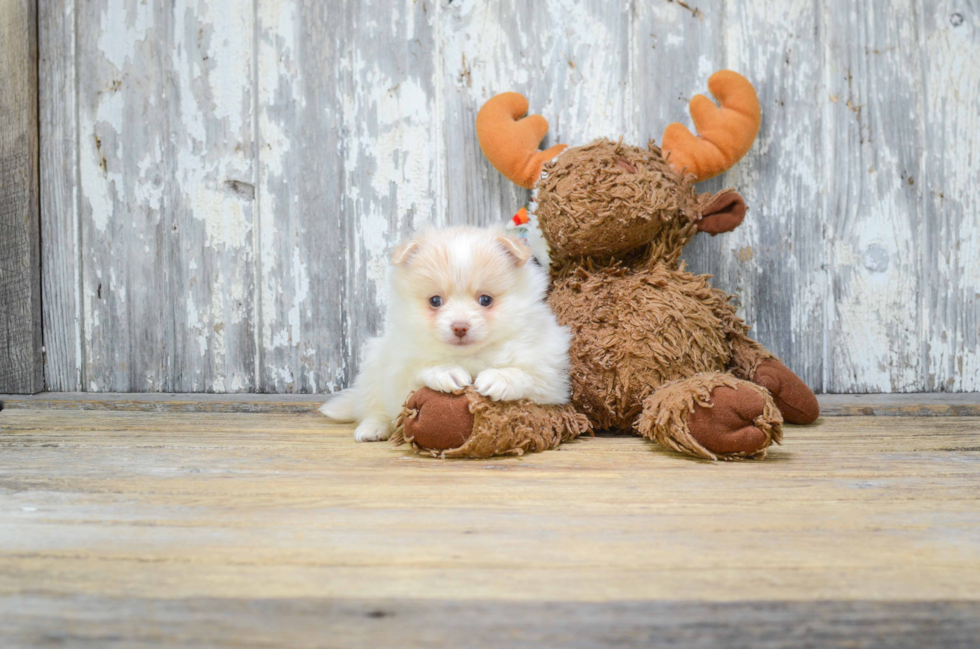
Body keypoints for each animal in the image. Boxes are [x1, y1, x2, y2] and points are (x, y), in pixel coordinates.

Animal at [318, 225, 572, 442]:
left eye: (485, 300)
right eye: (435, 301)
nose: (460, 326)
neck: (467, 356)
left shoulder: (551, 378)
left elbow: (526, 375)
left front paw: (499, 378)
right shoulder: (399, 372)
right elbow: (421, 368)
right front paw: (445, 372)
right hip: (374, 368)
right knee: (374, 408)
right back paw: (373, 428)